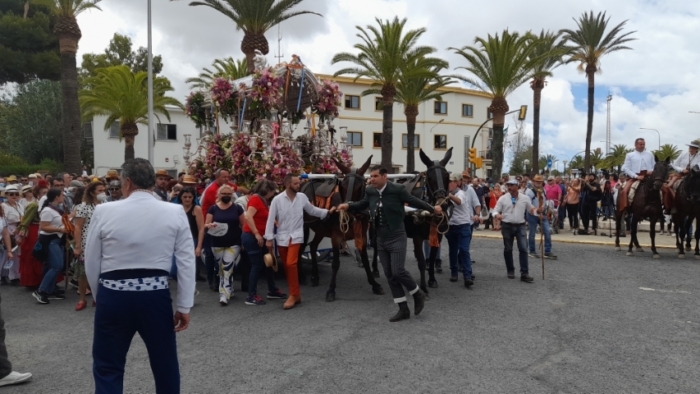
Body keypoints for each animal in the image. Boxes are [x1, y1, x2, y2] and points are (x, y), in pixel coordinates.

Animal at [300, 155, 386, 304]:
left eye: (360, 187)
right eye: (342, 186)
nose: (347, 213)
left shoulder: (362, 235)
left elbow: (365, 260)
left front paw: (374, 284)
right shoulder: (336, 237)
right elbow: (335, 263)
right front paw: (331, 290)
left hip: (320, 229)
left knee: (313, 246)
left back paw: (315, 276)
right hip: (304, 227)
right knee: (299, 249)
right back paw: (302, 277)